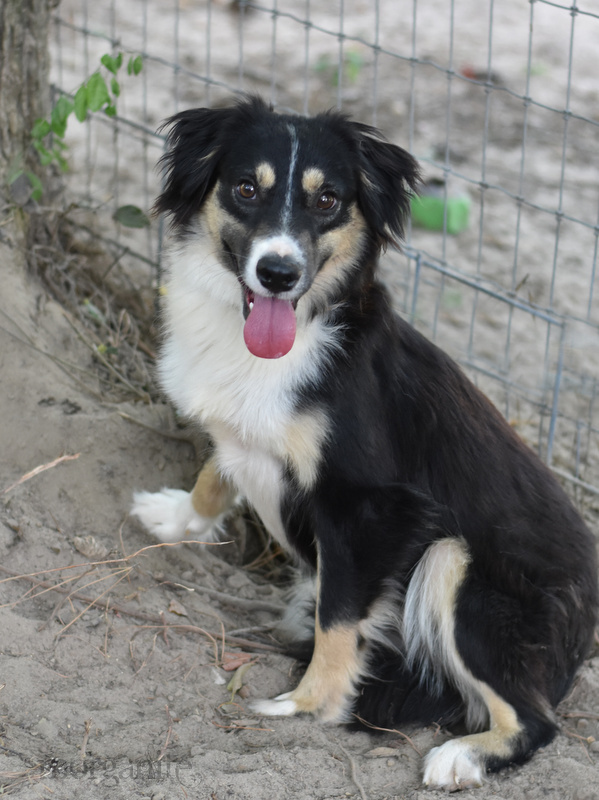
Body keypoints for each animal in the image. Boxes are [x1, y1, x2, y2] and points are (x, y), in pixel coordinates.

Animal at [132, 97, 599, 792]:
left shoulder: (372, 507)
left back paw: (462, 757)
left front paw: (307, 706)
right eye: (245, 188)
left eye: (328, 200)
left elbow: (340, 616)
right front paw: (178, 517)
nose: (278, 273)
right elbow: (219, 471)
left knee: (536, 720)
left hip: (458, 567)